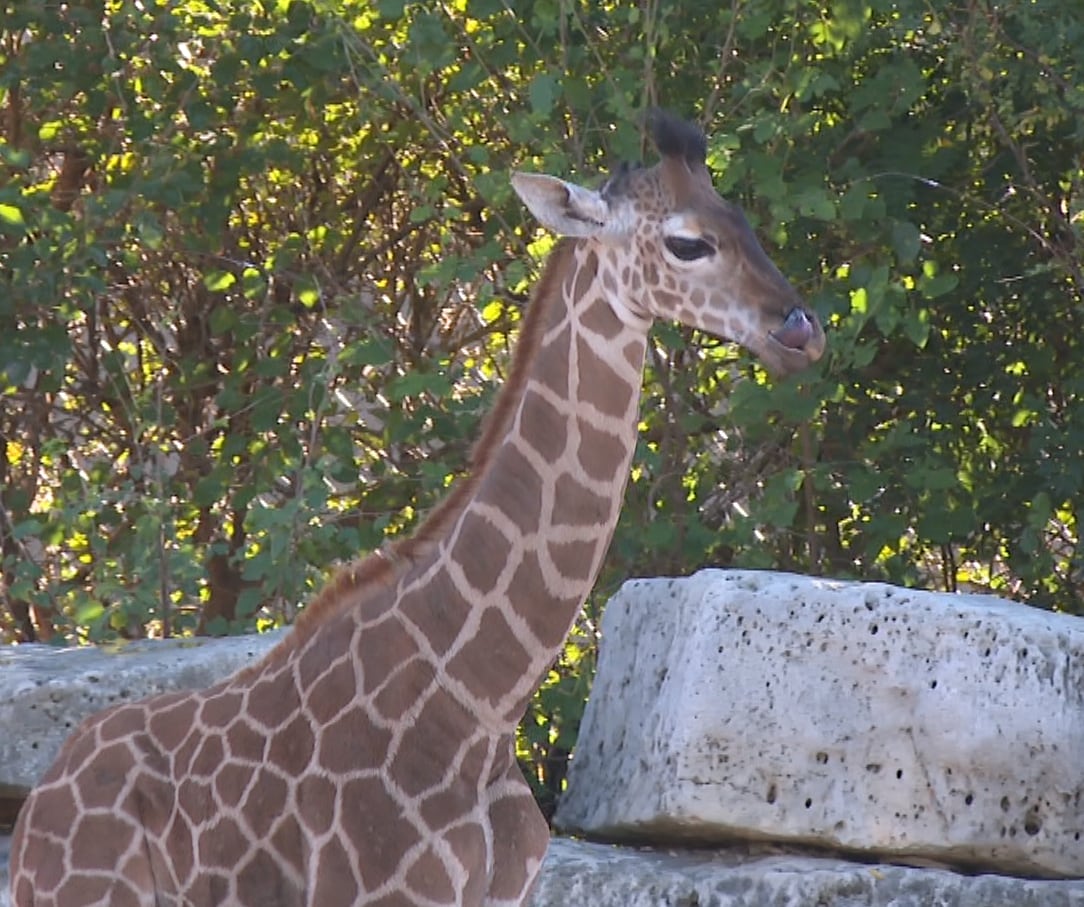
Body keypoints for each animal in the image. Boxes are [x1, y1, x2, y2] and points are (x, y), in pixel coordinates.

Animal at [9, 112, 825, 907]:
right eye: (688, 242)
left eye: (740, 217)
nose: (801, 329)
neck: (480, 706)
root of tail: (33, 811)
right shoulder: (381, 892)